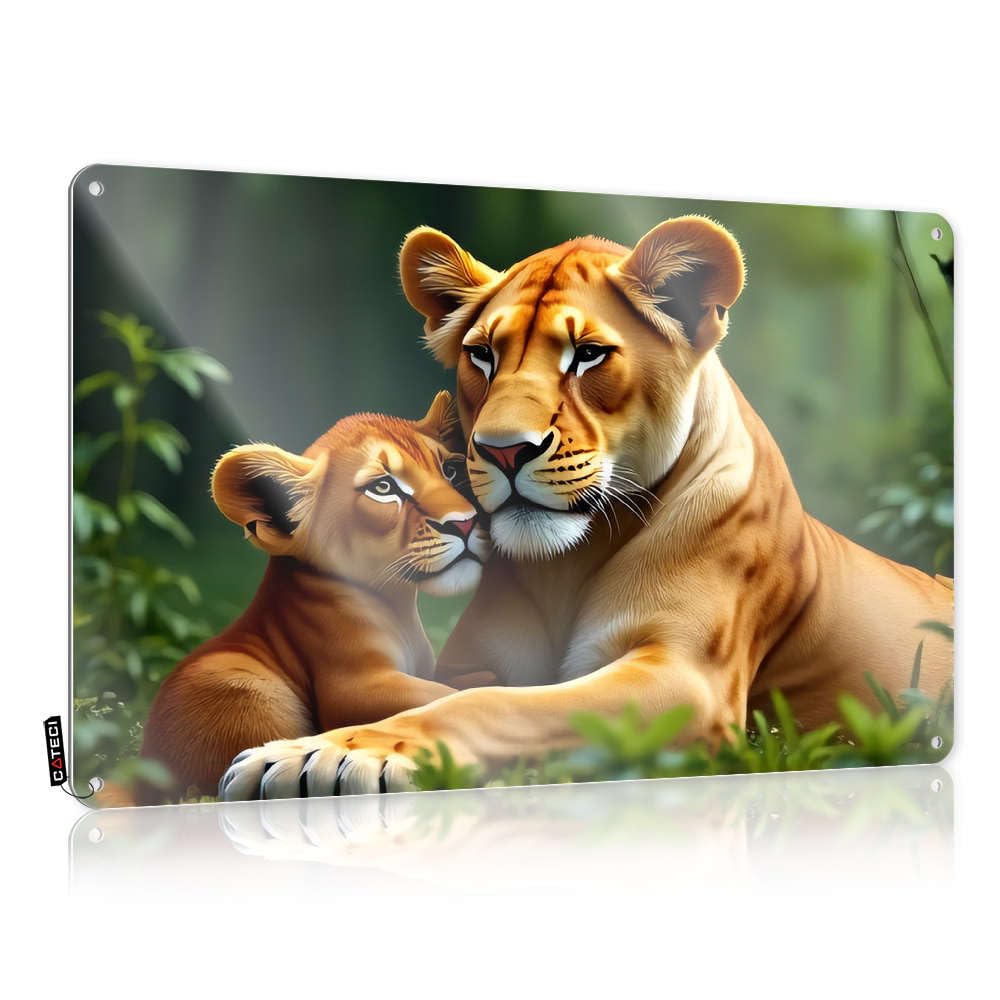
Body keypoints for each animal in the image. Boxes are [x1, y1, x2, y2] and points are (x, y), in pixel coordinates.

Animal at [220, 215, 953, 799]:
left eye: (589, 355)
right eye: (481, 356)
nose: (503, 450)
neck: (570, 565)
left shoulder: (689, 680)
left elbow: (494, 705)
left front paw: (324, 754)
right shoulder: (468, 658)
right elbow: (466, 688)